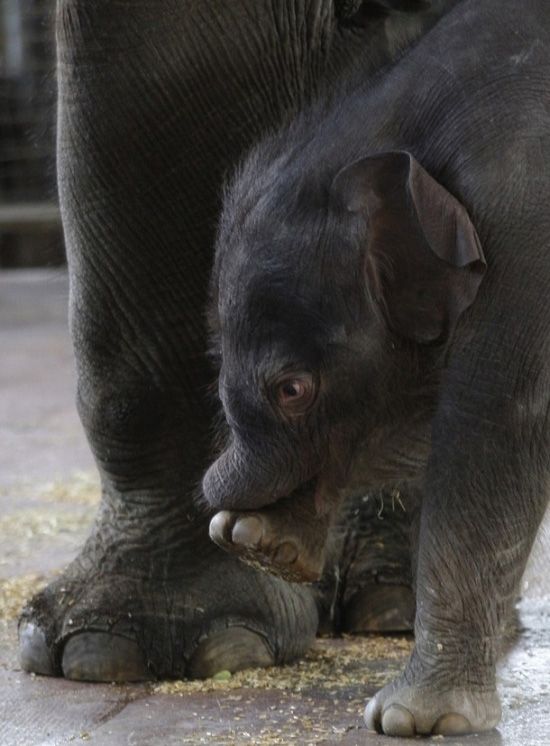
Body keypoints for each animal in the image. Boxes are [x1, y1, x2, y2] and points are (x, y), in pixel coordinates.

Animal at [203, 0, 550, 736]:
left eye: (292, 389)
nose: (226, 523)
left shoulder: (529, 234)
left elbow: (494, 433)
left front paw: (413, 720)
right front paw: (261, 544)